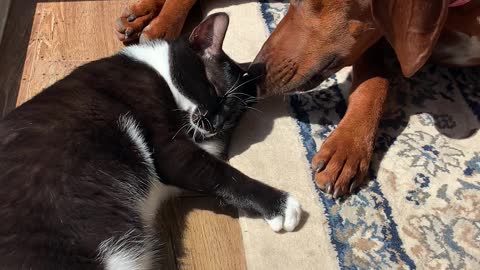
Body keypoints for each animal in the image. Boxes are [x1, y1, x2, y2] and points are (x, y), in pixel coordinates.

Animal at [0, 13, 300, 270]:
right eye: (215, 88)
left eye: (233, 115)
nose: (216, 123)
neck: (161, 72)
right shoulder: (171, 151)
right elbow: (223, 174)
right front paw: (281, 204)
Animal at [117, 1, 480, 197]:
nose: (256, 71)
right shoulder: (377, 39)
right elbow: (375, 84)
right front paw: (347, 150)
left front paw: (348, 148)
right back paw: (156, 21)